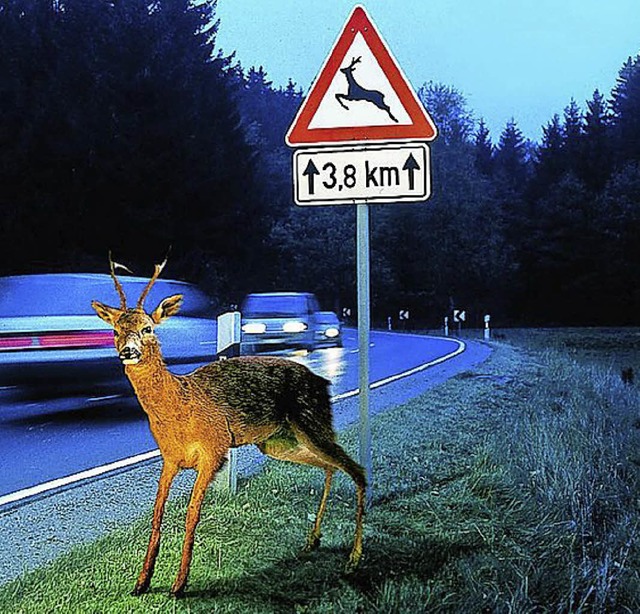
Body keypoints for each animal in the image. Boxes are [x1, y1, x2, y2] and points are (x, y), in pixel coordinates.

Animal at [92, 258, 368, 600]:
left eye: (148, 328)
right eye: (115, 330)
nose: (128, 351)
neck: (180, 405)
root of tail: (323, 382)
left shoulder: (214, 449)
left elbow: (192, 514)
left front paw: (179, 585)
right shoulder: (169, 458)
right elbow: (157, 514)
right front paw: (141, 582)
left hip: (311, 420)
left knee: (357, 471)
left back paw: (353, 560)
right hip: (280, 442)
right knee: (331, 467)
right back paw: (313, 540)